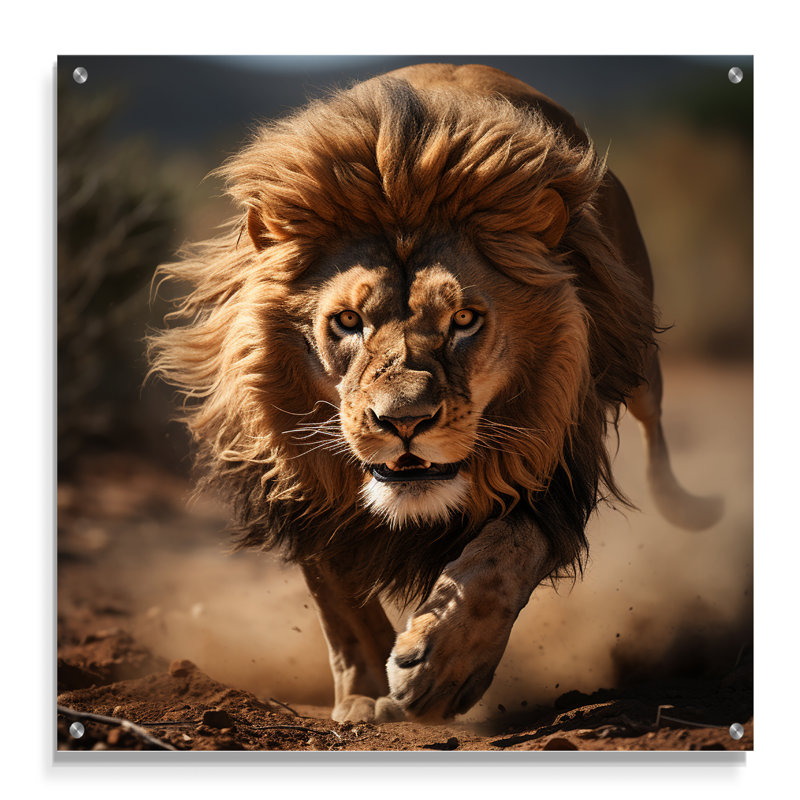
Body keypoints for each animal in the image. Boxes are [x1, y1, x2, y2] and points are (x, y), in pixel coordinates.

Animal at [149, 63, 722, 723]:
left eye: (465, 319)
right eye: (348, 321)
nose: (403, 422)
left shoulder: (551, 461)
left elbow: (503, 557)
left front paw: (440, 667)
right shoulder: (300, 482)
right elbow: (338, 595)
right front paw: (365, 695)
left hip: (637, 352)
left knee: (656, 437)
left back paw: (696, 508)